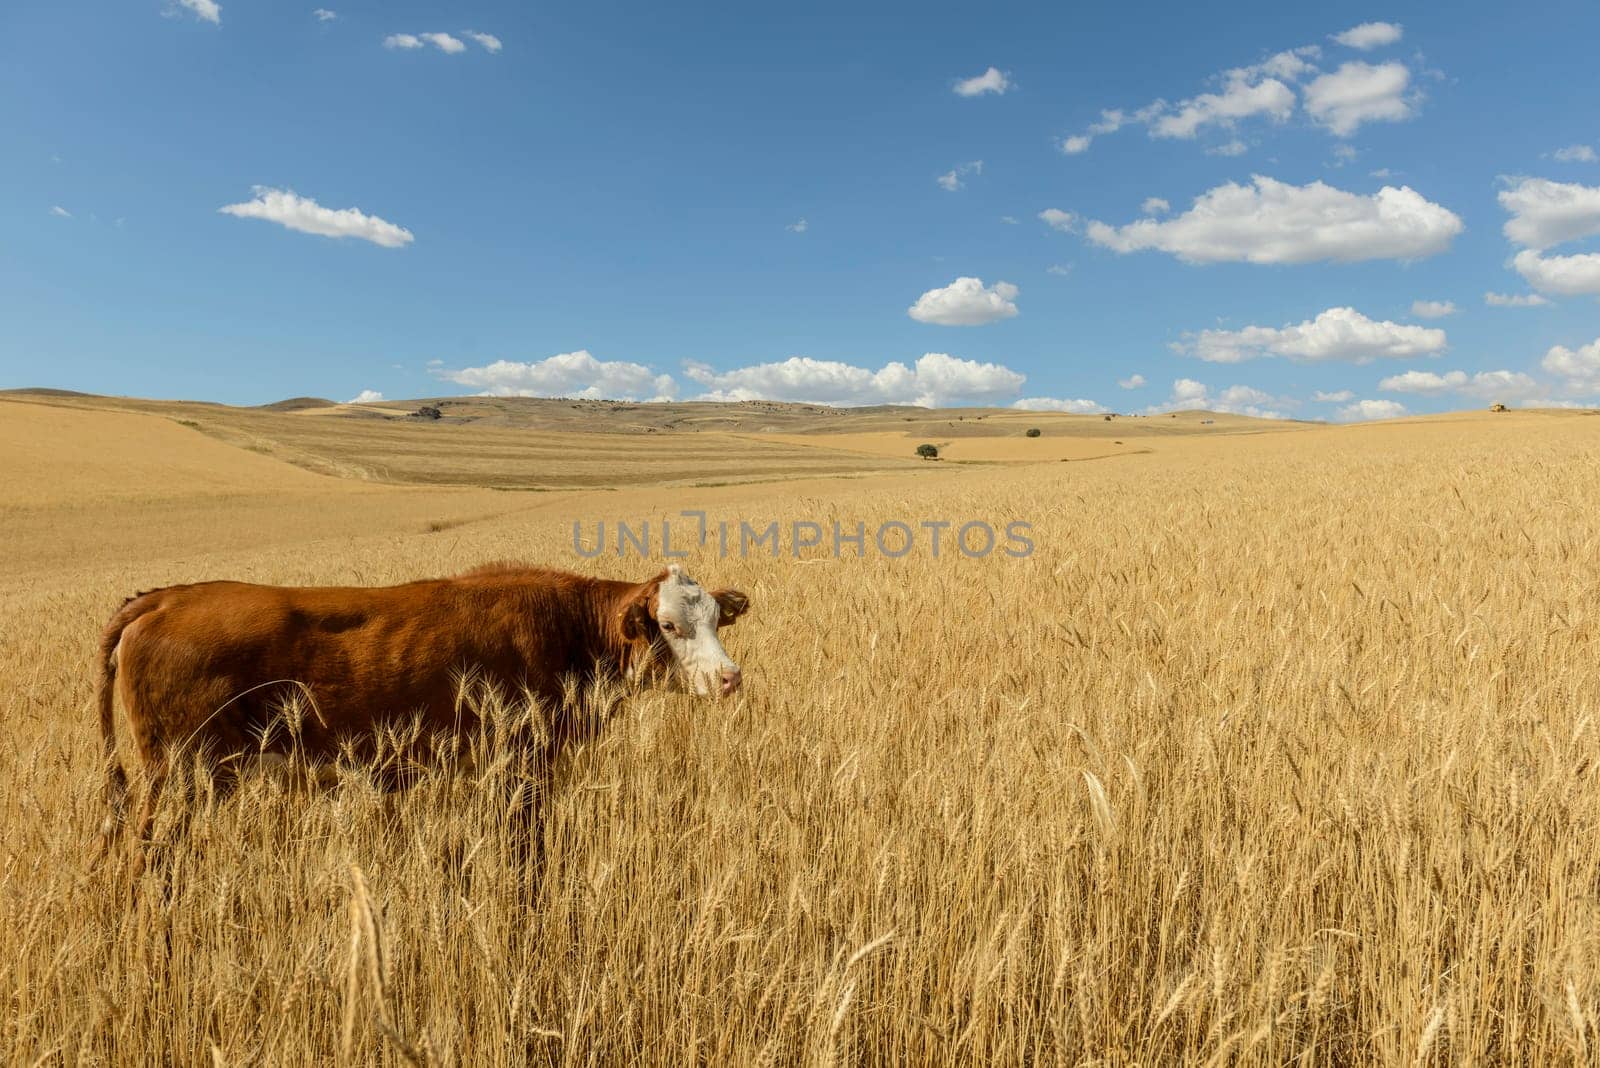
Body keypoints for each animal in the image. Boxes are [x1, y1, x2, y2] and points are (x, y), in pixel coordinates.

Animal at [93, 559, 748, 876]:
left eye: (717, 618)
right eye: (668, 625)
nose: (729, 677)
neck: (565, 627)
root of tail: (165, 597)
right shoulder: (524, 766)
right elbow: (528, 855)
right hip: (183, 775)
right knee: (147, 854)